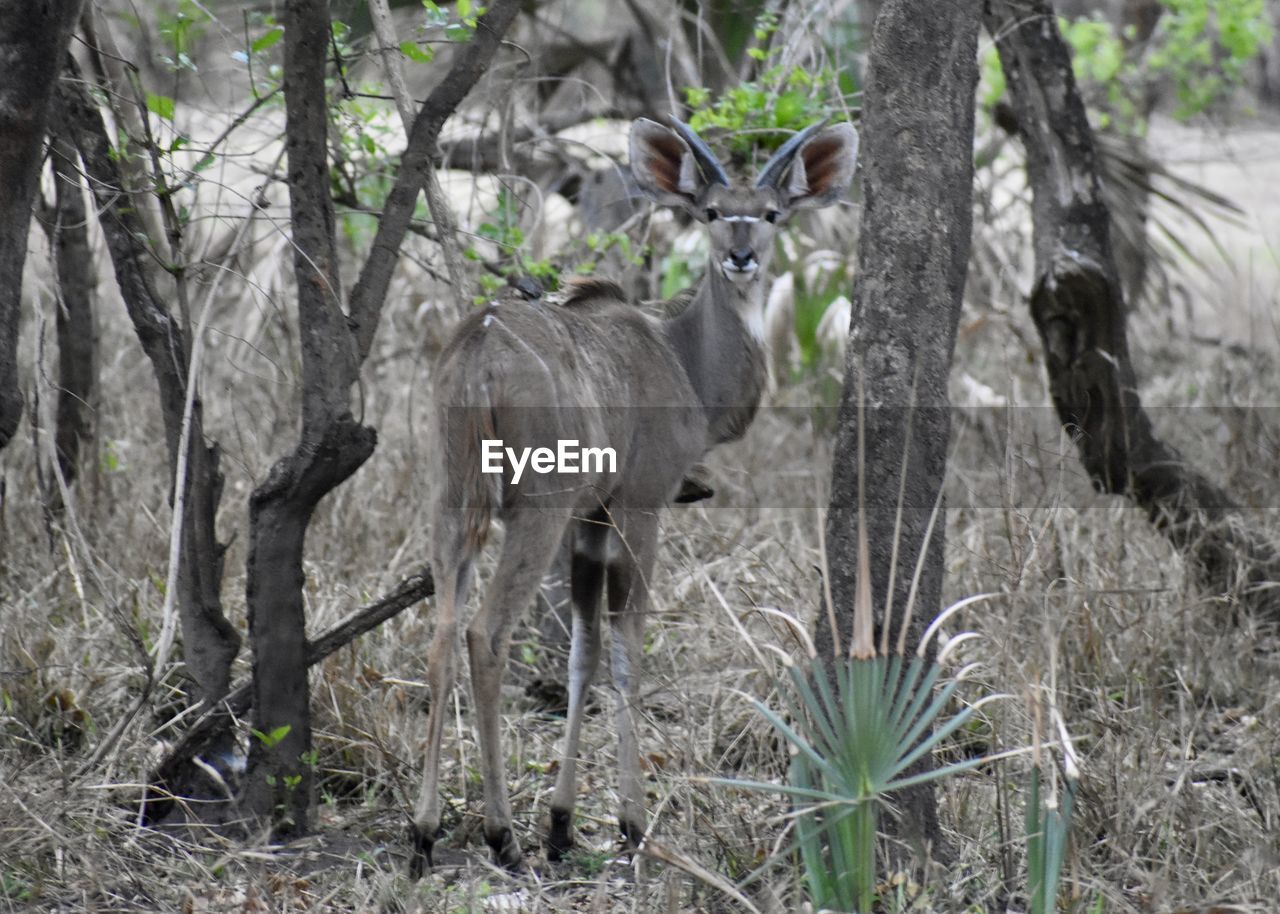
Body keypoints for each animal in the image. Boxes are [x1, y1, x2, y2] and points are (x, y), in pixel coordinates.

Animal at [414, 113, 860, 870]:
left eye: (771, 213)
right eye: (711, 212)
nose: (742, 257)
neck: (682, 360)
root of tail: (480, 352)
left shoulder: (590, 521)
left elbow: (583, 653)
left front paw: (562, 822)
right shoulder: (638, 506)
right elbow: (626, 648)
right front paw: (630, 821)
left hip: (453, 501)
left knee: (443, 636)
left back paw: (422, 831)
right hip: (533, 512)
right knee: (484, 633)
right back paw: (501, 835)